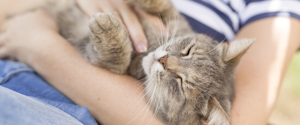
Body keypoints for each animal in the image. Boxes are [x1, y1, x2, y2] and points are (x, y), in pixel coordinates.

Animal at [44, 0, 255, 124]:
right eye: (188, 51)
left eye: (180, 83)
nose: (163, 59)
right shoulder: (172, 18)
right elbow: (163, 5)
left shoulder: (105, 62)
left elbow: (115, 59)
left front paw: (107, 28)